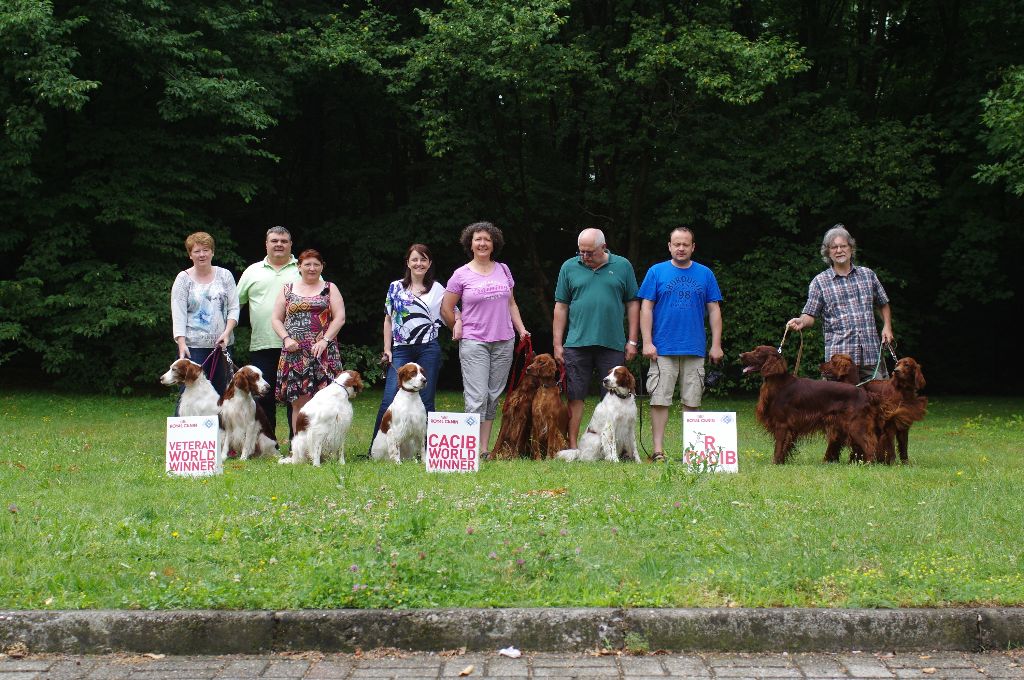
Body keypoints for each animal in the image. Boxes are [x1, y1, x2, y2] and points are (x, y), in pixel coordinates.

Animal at [741, 348, 884, 464]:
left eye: (758, 352)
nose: (740, 355)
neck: (779, 383)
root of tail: (864, 393)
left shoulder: (781, 424)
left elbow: (778, 447)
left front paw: (775, 463)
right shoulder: (790, 428)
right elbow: (785, 446)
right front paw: (782, 462)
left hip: (855, 425)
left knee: (869, 445)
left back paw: (868, 464)